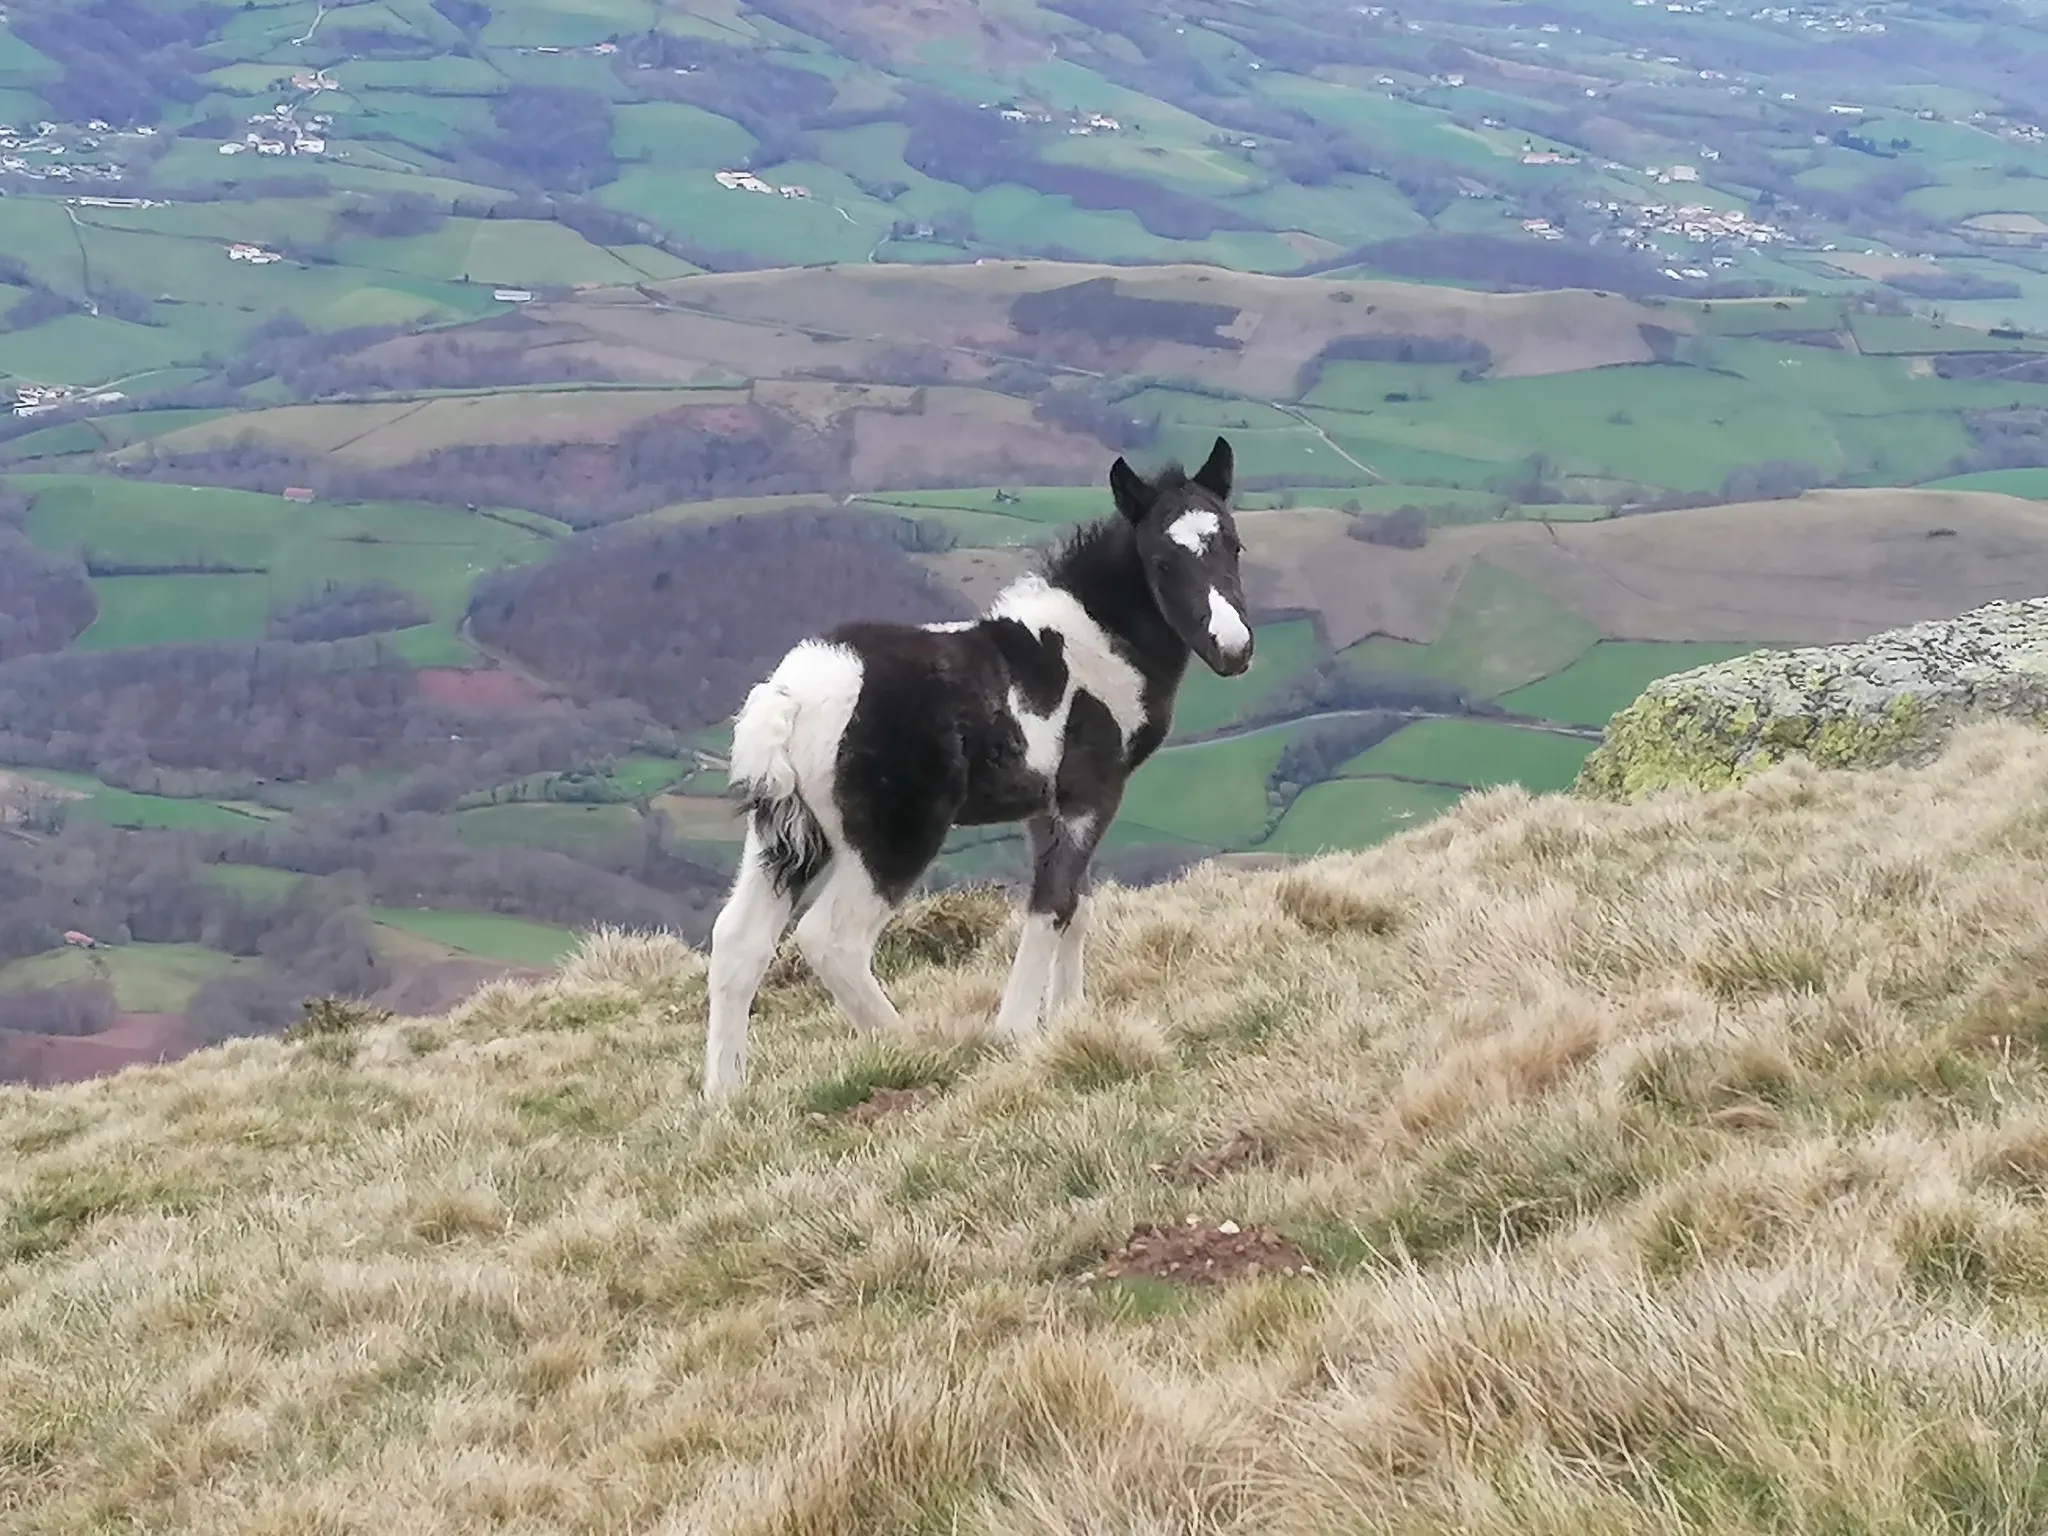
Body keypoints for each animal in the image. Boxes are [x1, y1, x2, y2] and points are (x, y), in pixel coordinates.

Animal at [704, 438, 1245, 1097]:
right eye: (1162, 562)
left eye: (1234, 544)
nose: (1234, 649)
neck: (1093, 647)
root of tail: (789, 696)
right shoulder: (1092, 794)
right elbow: (1051, 904)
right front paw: (1016, 1030)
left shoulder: (1047, 807)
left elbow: (1077, 905)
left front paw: (1069, 1017)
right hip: (894, 837)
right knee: (832, 939)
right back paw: (913, 1046)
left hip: (786, 835)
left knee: (738, 940)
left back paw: (722, 1096)